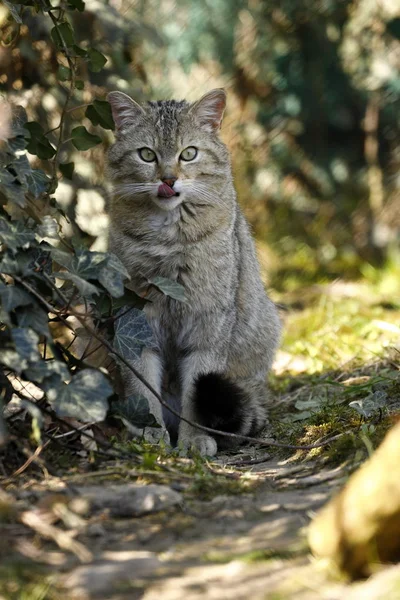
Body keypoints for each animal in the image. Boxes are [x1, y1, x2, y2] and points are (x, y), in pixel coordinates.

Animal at [106, 88, 282, 454]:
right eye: (146, 155)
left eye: (188, 154)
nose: (168, 179)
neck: (168, 239)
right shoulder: (136, 321)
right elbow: (143, 386)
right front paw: (150, 430)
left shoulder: (208, 323)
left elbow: (195, 390)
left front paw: (193, 438)